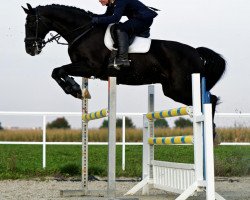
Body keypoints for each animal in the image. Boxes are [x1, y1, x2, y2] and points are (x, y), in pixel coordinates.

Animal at [22, 3, 226, 137]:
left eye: (30, 23)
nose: (30, 49)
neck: (83, 32)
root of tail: (196, 52)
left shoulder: (90, 66)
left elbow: (58, 70)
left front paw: (75, 89)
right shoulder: (85, 70)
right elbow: (57, 72)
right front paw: (77, 90)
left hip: (180, 87)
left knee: (210, 99)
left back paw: (212, 133)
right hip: (172, 89)